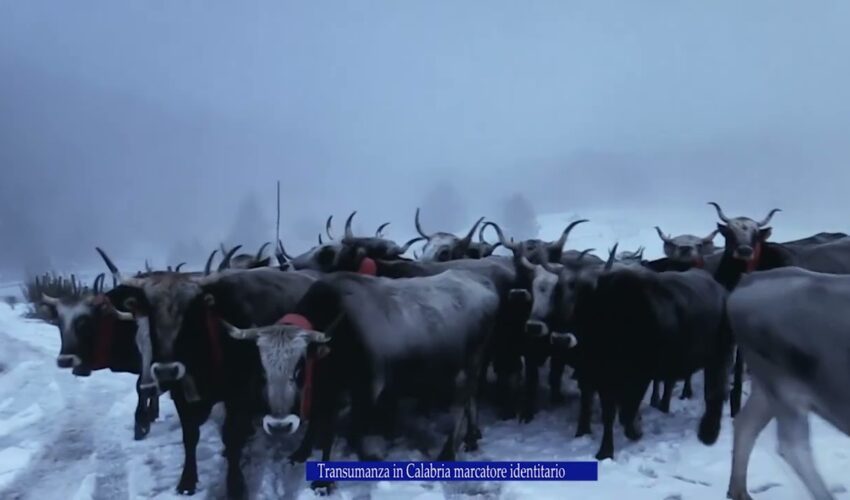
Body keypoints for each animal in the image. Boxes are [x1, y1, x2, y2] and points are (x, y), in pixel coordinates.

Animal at [39, 272, 161, 440]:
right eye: (59, 322)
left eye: (84, 321)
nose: (65, 360)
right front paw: (152, 415)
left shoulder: (147, 359)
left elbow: (142, 388)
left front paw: (141, 425)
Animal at [93, 248, 318, 498]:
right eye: (150, 312)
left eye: (192, 311)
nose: (166, 370)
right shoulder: (181, 397)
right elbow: (190, 437)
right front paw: (187, 481)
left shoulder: (238, 398)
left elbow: (231, 438)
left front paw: (235, 485)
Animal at [222, 270, 500, 492]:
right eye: (262, 371)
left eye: (300, 368)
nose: (280, 426)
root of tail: (484, 285)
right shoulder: (325, 391)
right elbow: (315, 426)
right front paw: (301, 453)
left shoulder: (360, 392)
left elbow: (333, 433)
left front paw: (326, 480)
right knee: (471, 400)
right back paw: (472, 437)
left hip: (470, 365)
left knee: (462, 403)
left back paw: (448, 453)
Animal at [704, 268, 850, 500]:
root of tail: (749, 280)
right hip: (784, 388)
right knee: (792, 446)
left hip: (766, 388)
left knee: (746, 423)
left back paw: (738, 490)